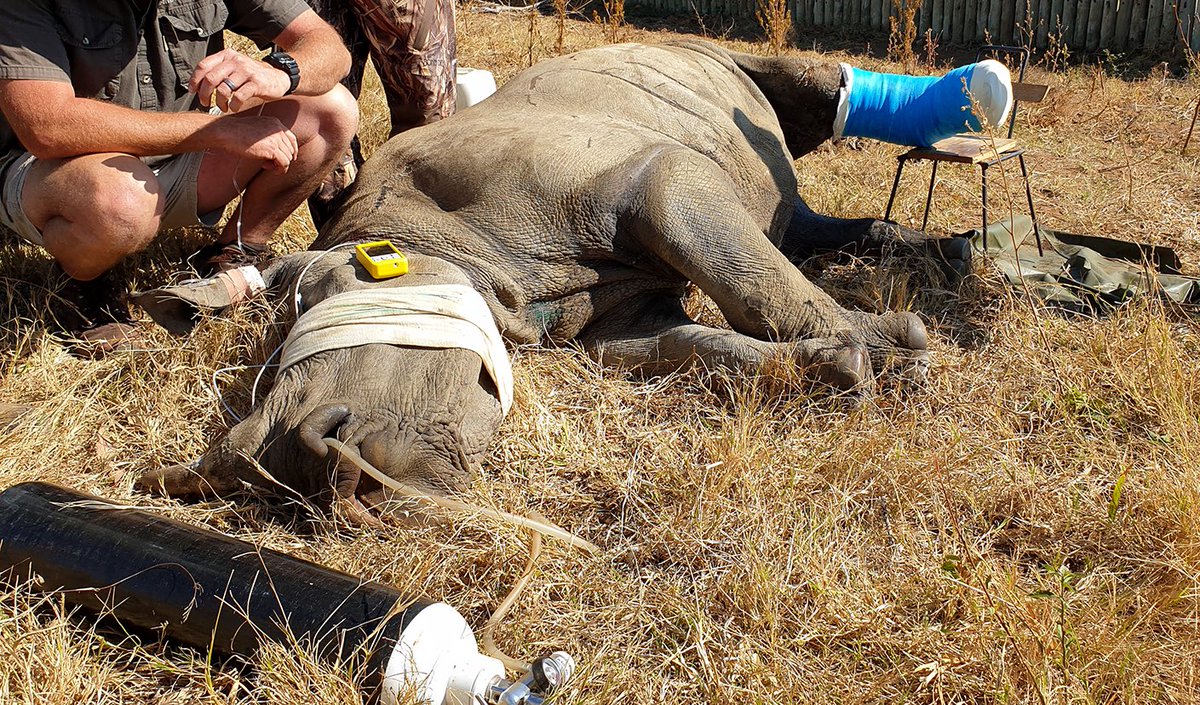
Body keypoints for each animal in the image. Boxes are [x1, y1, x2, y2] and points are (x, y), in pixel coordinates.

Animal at [137, 40, 959, 517]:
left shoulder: (652, 176)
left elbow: (742, 272)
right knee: (793, 222)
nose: (296, 464)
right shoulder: (613, 322)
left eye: (346, 296)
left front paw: (890, 353)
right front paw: (837, 362)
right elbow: (696, 347)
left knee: (809, 103)